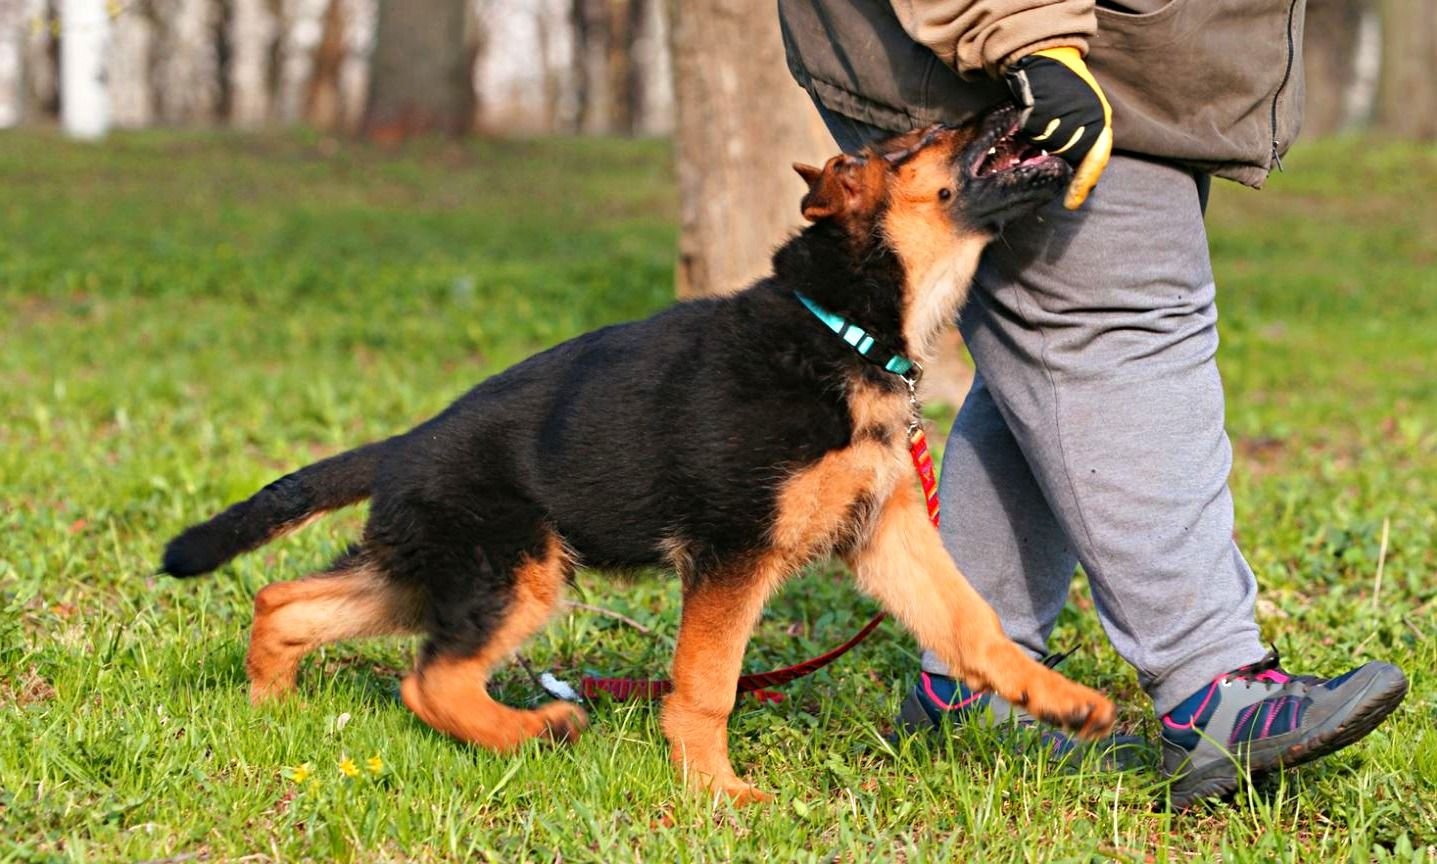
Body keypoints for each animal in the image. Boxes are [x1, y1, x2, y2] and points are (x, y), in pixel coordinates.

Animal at [163, 107, 1115, 799]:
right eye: (920, 142)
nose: (1009, 93)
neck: (841, 327)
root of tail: (408, 441)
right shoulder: (733, 550)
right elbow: (707, 681)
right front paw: (717, 795)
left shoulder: (885, 536)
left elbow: (971, 623)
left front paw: (1061, 703)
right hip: (513, 570)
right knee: (429, 682)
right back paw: (534, 729)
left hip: (429, 570)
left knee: (285, 603)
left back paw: (272, 715)